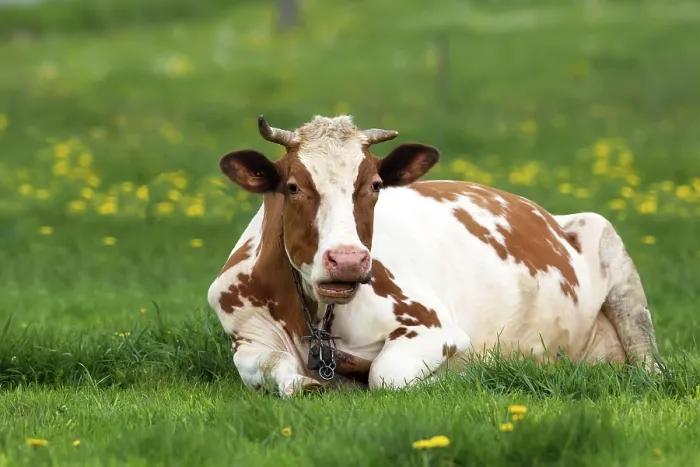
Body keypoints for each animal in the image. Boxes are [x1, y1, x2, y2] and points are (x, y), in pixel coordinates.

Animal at [207, 114, 661, 397]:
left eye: (374, 185)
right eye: (293, 187)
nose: (348, 260)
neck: (315, 317)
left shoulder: (434, 328)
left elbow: (386, 375)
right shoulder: (246, 337)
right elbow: (272, 371)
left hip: (612, 252)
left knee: (648, 362)